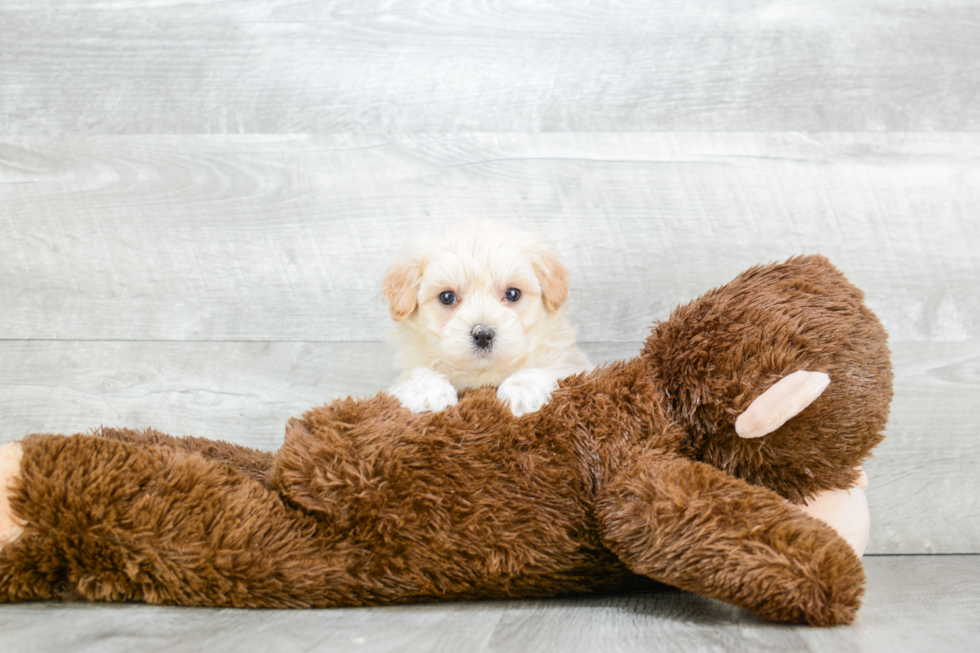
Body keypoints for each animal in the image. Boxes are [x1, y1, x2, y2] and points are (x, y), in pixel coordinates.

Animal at [382, 216, 588, 416]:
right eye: (447, 297)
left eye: (513, 294)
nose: (482, 335)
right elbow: (414, 373)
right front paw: (427, 390)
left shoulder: (573, 365)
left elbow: (549, 367)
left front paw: (522, 388)